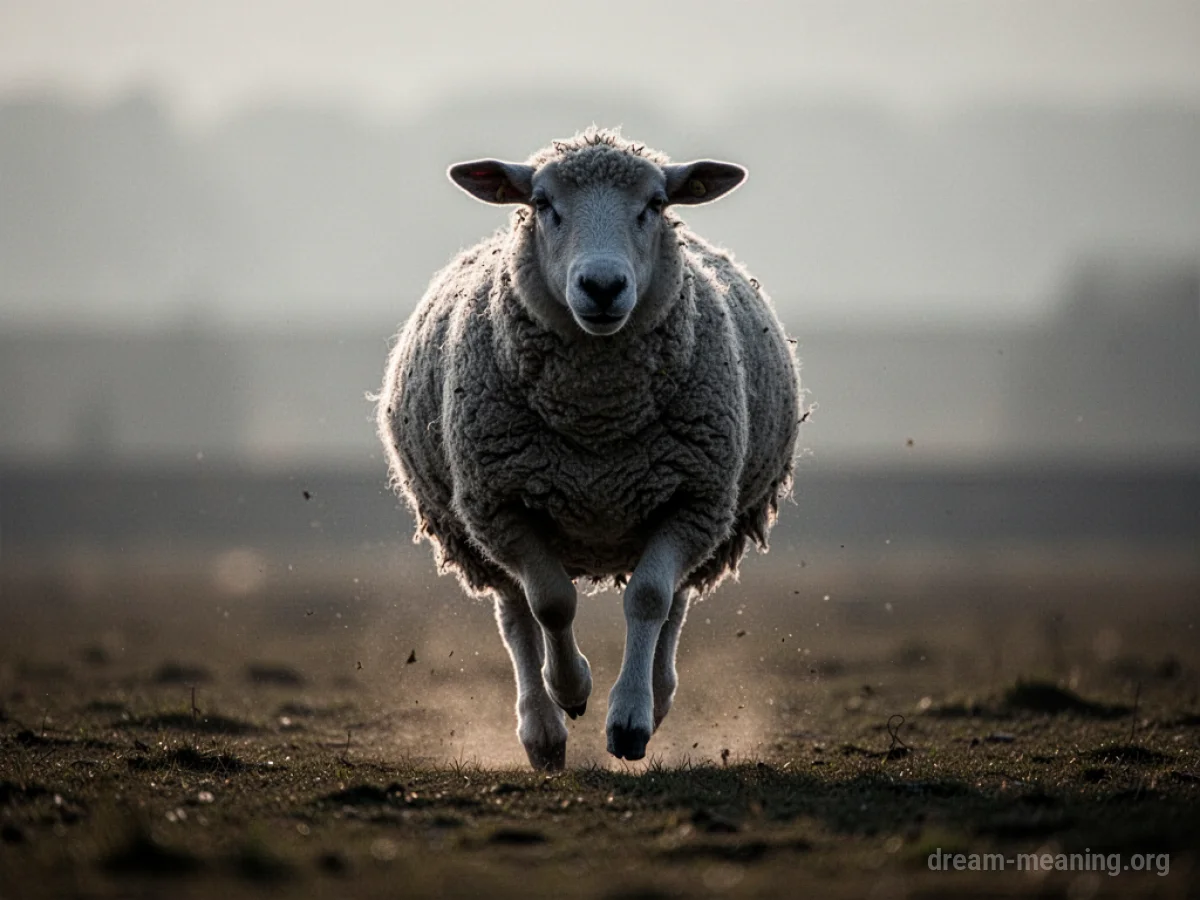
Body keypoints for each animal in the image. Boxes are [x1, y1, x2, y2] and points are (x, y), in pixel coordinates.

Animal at [377, 128, 799, 770]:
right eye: (542, 203)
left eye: (656, 204)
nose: (603, 286)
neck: (597, 420)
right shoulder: (501, 505)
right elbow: (551, 603)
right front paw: (571, 687)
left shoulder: (694, 500)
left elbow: (650, 599)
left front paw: (629, 720)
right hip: (477, 530)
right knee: (515, 612)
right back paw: (543, 731)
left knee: (674, 602)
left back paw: (657, 695)